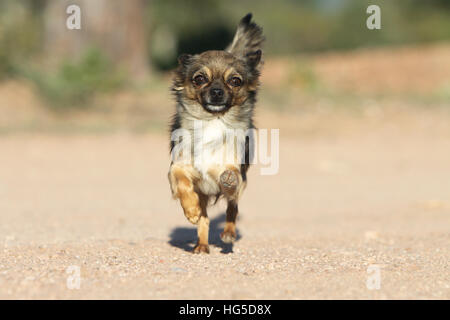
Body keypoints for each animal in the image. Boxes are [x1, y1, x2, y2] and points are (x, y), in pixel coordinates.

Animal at [169, 13, 264, 254]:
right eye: (200, 79)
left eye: (235, 81)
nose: (217, 91)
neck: (212, 121)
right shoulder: (178, 168)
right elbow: (182, 183)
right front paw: (190, 211)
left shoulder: (234, 171)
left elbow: (230, 179)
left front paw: (227, 180)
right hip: (203, 195)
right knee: (204, 219)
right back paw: (201, 245)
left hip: (240, 188)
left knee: (232, 210)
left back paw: (228, 234)